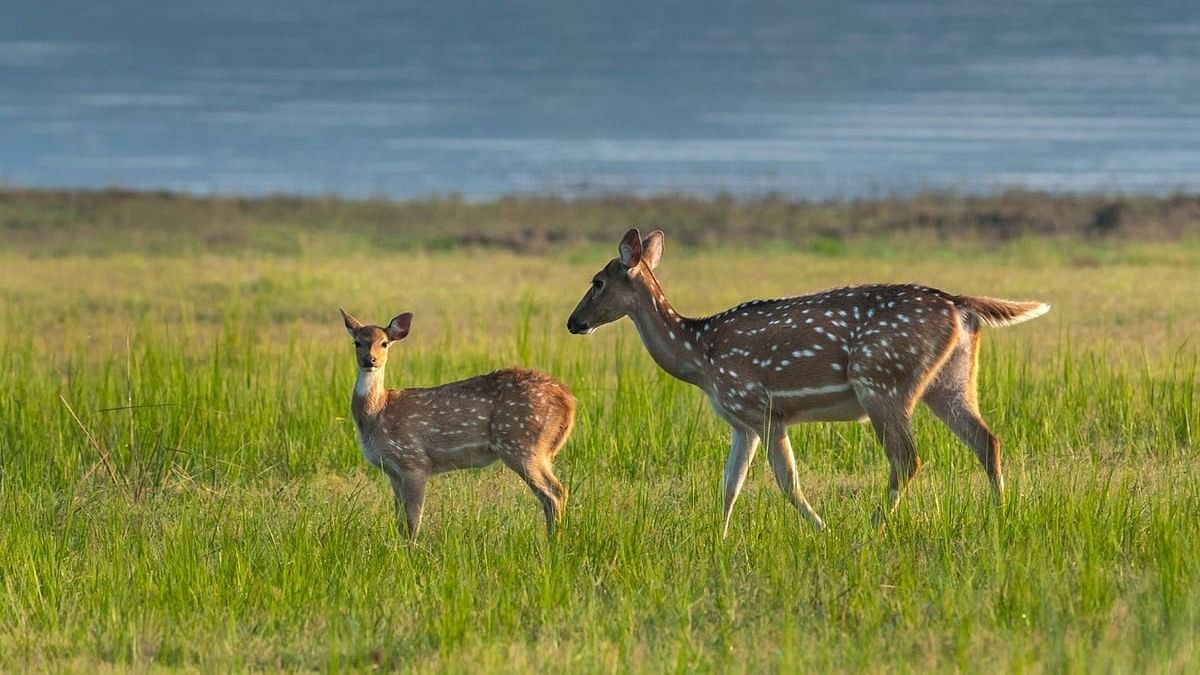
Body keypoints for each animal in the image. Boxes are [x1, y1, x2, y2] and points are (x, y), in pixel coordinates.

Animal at [343, 309, 576, 535]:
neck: (377, 413)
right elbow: (400, 522)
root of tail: (568, 400)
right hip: (537, 448)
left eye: (384, 343)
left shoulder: (414, 461)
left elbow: (412, 522)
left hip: (521, 442)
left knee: (555, 492)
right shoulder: (393, 471)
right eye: (357, 342)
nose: (370, 360)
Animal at [566, 228, 1046, 533]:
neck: (700, 357)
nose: (574, 323)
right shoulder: (741, 422)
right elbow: (729, 486)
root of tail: (960, 305)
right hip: (951, 381)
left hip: (882, 381)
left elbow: (787, 482)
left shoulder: (762, 407)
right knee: (987, 440)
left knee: (907, 458)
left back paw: (873, 526)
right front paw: (719, 539)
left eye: (597, 281)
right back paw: (1001, 515)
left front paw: (822, 529)